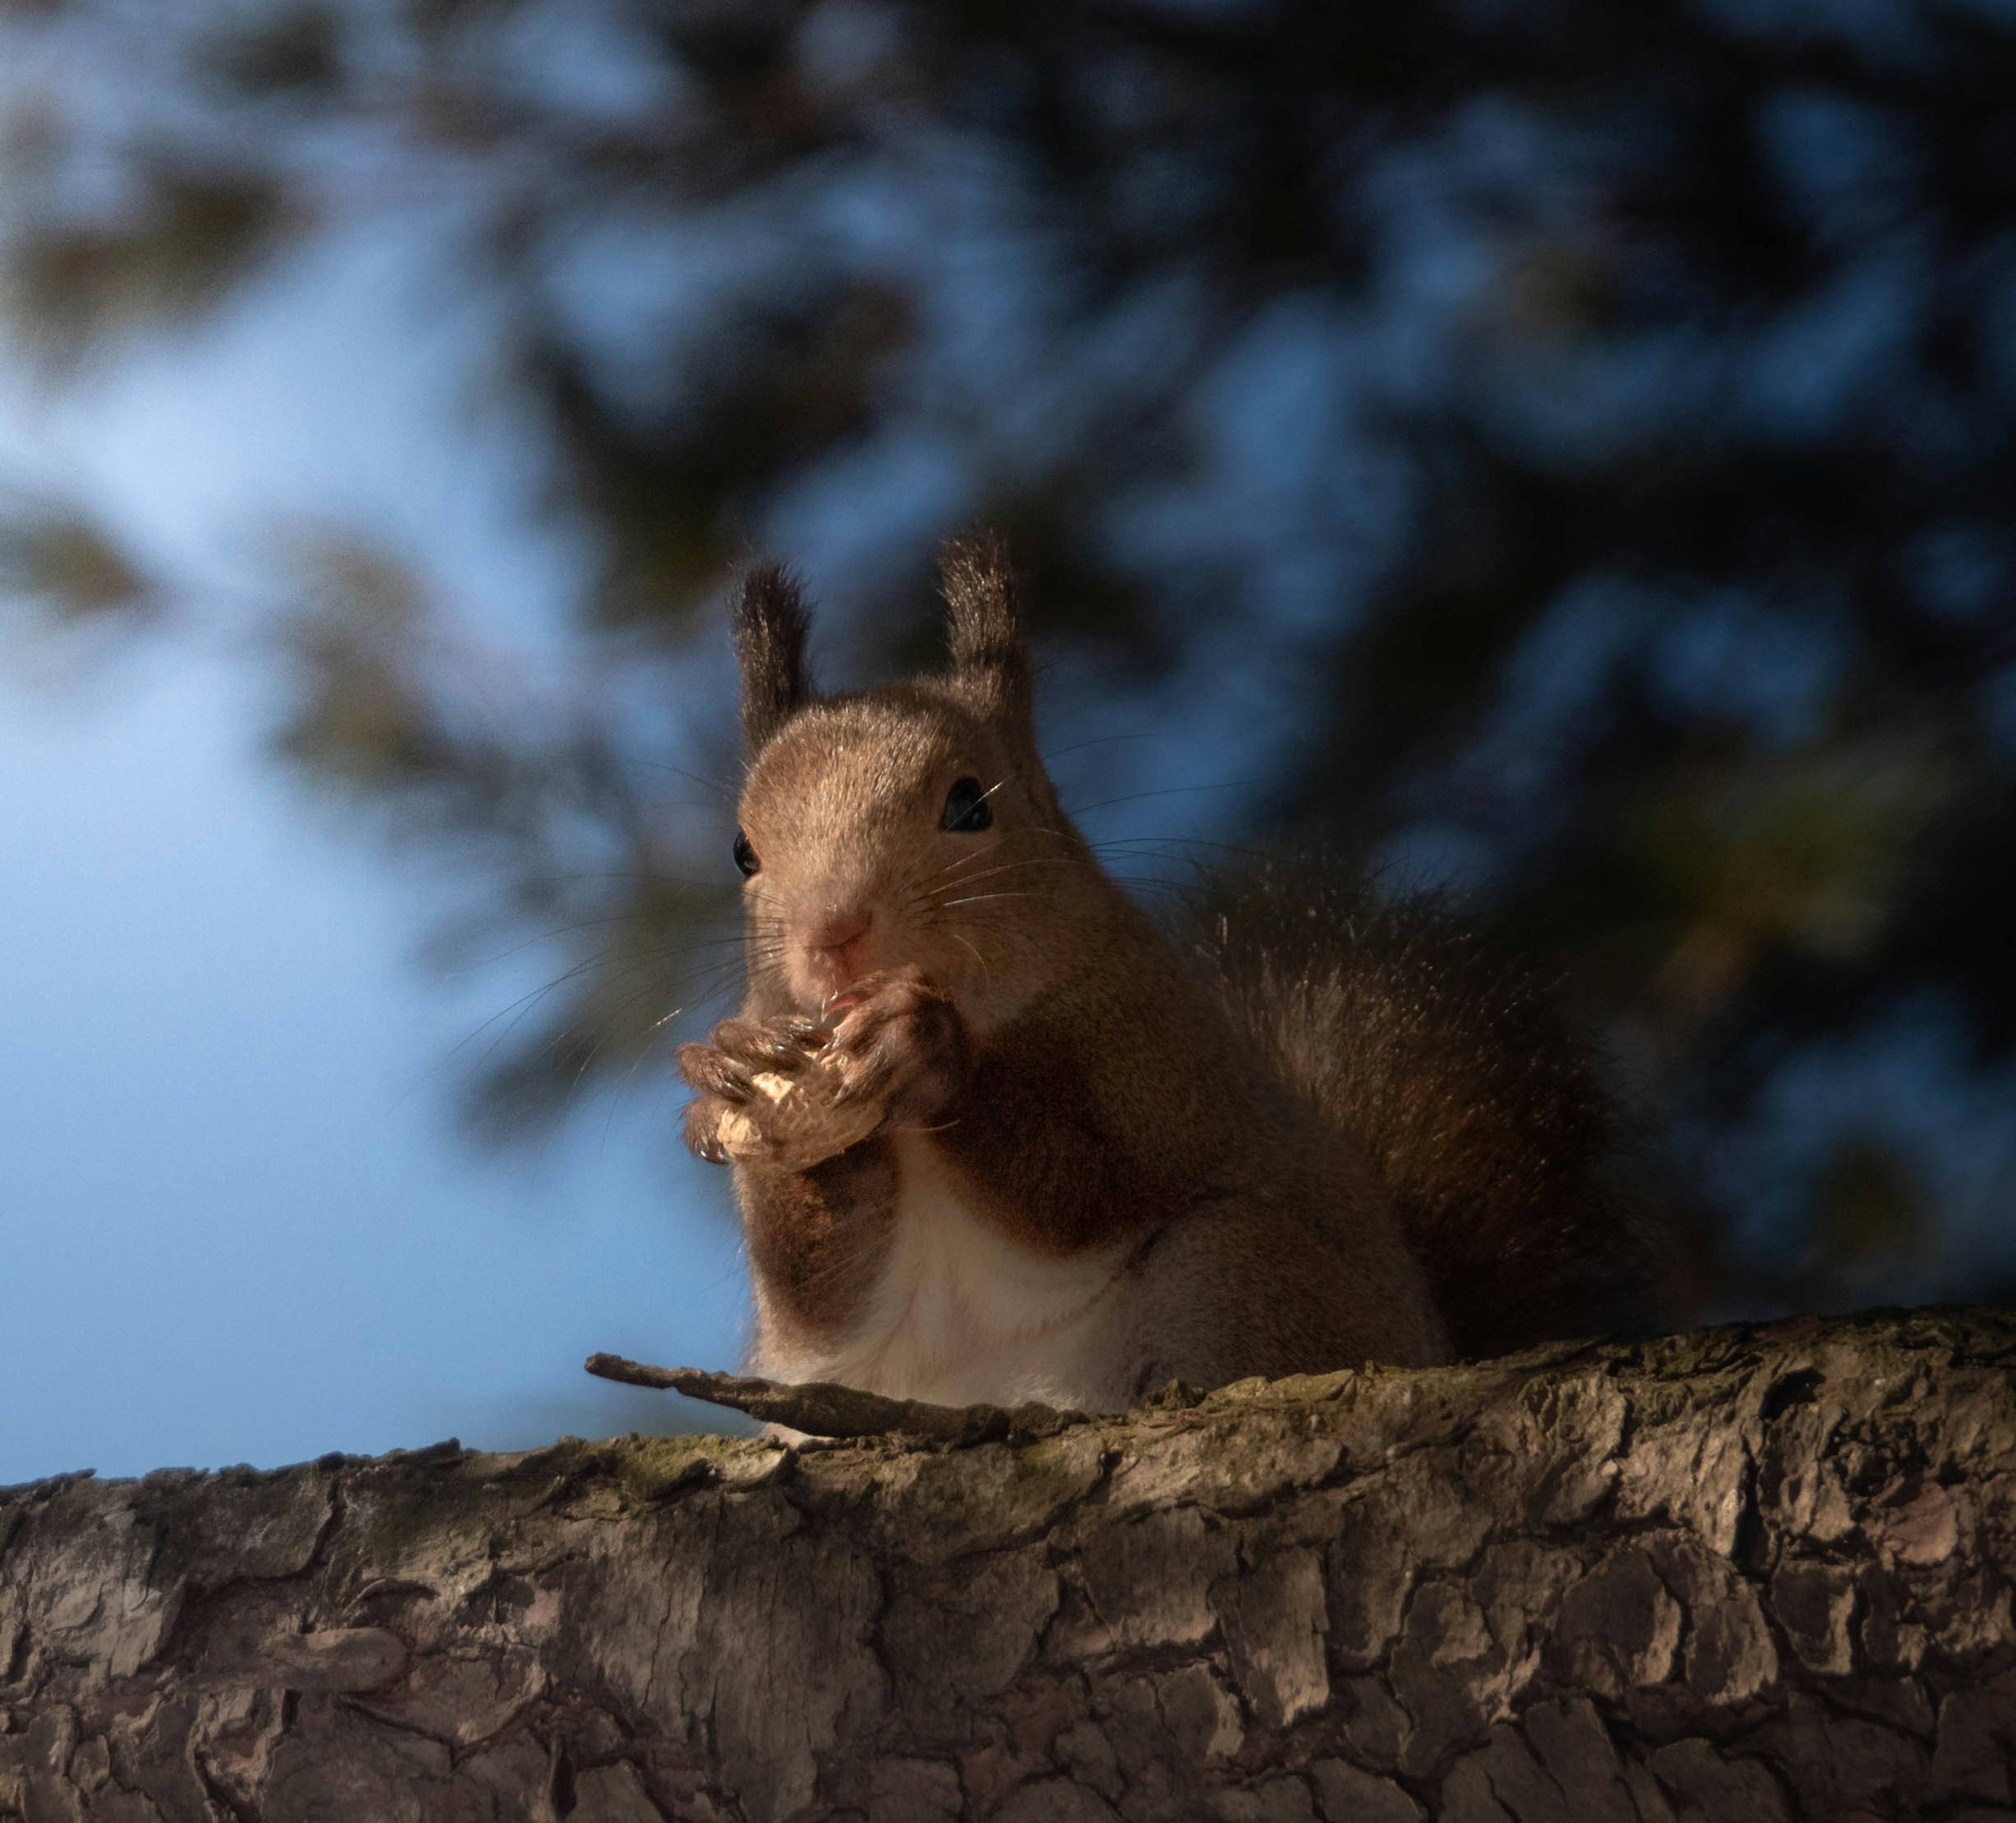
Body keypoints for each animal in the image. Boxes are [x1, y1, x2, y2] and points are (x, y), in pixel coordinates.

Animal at [673, 532, 1653, 1419]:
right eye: (743, 850)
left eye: (970, 804)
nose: (833, 932)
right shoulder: (817, 1319)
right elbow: (819, 1293)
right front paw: (731, 1071)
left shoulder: (1157, 1060)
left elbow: (1083, 1180)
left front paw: (928, 1049)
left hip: (1237, 1267)